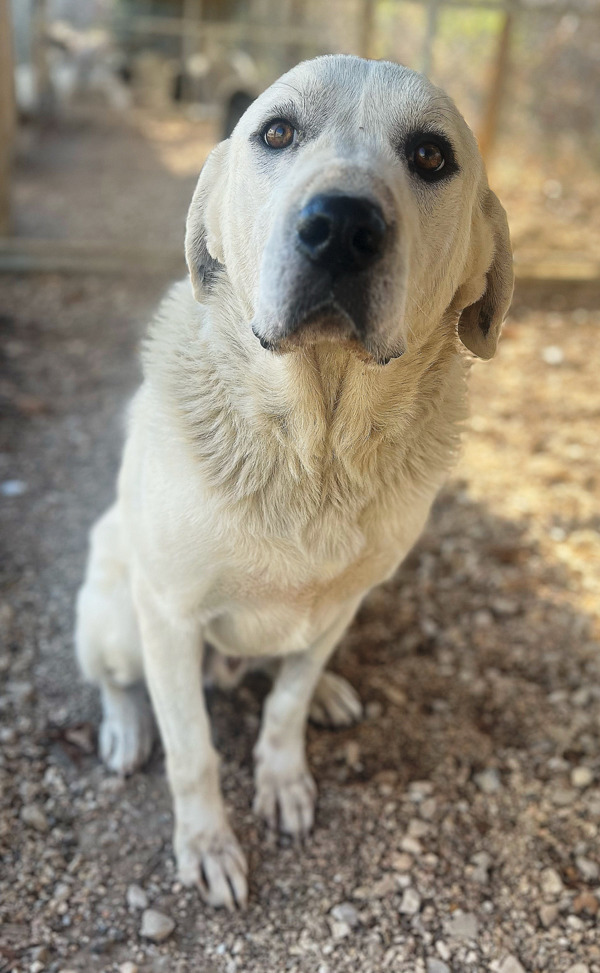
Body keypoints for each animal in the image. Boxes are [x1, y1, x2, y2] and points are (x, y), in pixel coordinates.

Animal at [75, 53, 510, 908]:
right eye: (276, 132)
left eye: (431, 155)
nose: (341, 227)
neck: (317, 450)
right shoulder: (168, 613)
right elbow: (193, 751)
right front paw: (207, 840)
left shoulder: (343, 600)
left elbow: (286, 702)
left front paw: (283, 772)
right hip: (115, 615)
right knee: (120, 681)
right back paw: (125, 726)